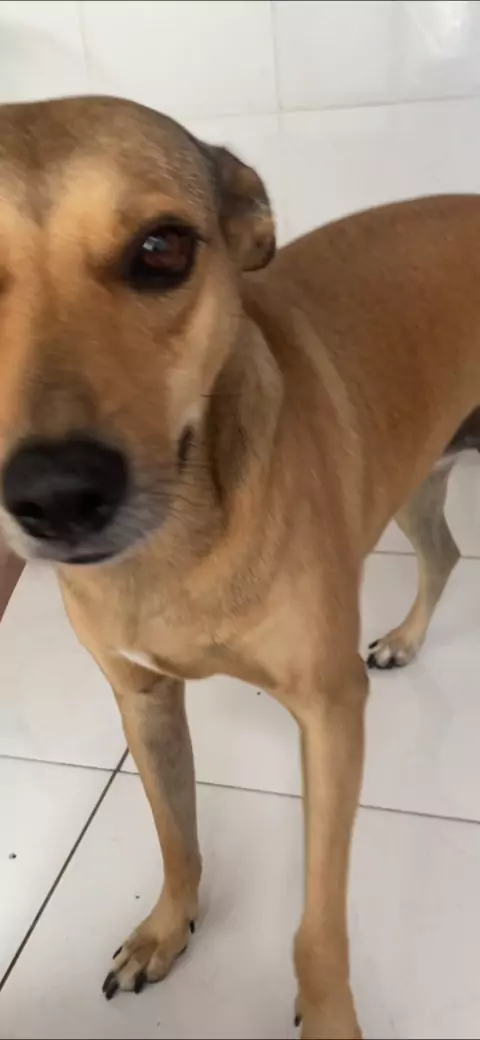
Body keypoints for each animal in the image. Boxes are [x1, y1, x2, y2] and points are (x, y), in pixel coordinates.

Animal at [0, 95, 477, 1040]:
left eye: (162, 248)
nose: (56, 495)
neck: (180, 541)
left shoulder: (330, 717)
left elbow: (318, 921)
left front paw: (328, 1015)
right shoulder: (143, 701)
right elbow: (174, 834)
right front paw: (166, 929)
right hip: (416, 473)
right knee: (443, 553)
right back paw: (405, 639)